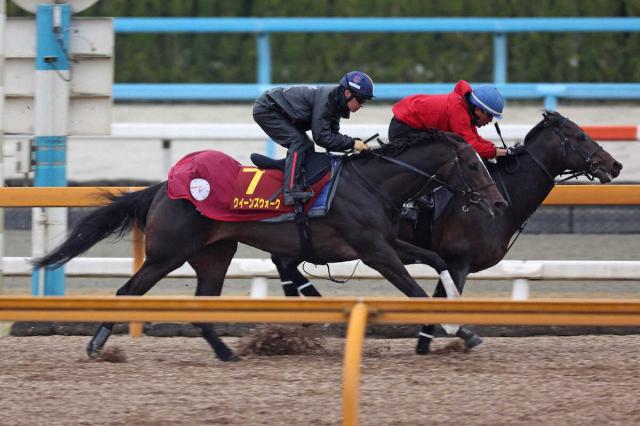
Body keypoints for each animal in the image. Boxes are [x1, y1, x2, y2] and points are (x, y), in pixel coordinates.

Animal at [35, 128, 508, 362]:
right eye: (472, 164)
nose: (499, 202)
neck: (372, 183)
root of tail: (163, 188)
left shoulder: (388, 242)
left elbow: (436, 261)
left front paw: (464, 328)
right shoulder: (374, 250)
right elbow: (413, 290)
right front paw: (453, 329)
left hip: (214, 254)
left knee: (202, 307)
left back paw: (227, 353)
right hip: (167, 253)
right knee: (126, 290)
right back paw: (97, 346)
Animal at [272, 110, 624, 352]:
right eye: (579, 136)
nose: (615, 165)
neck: (501, 195)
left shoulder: (449, 262)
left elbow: (440, 296)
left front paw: (426, 341)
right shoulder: (459, 262)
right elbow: (443, 298)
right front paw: (453, 336)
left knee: (285, 263)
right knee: (285, 263)